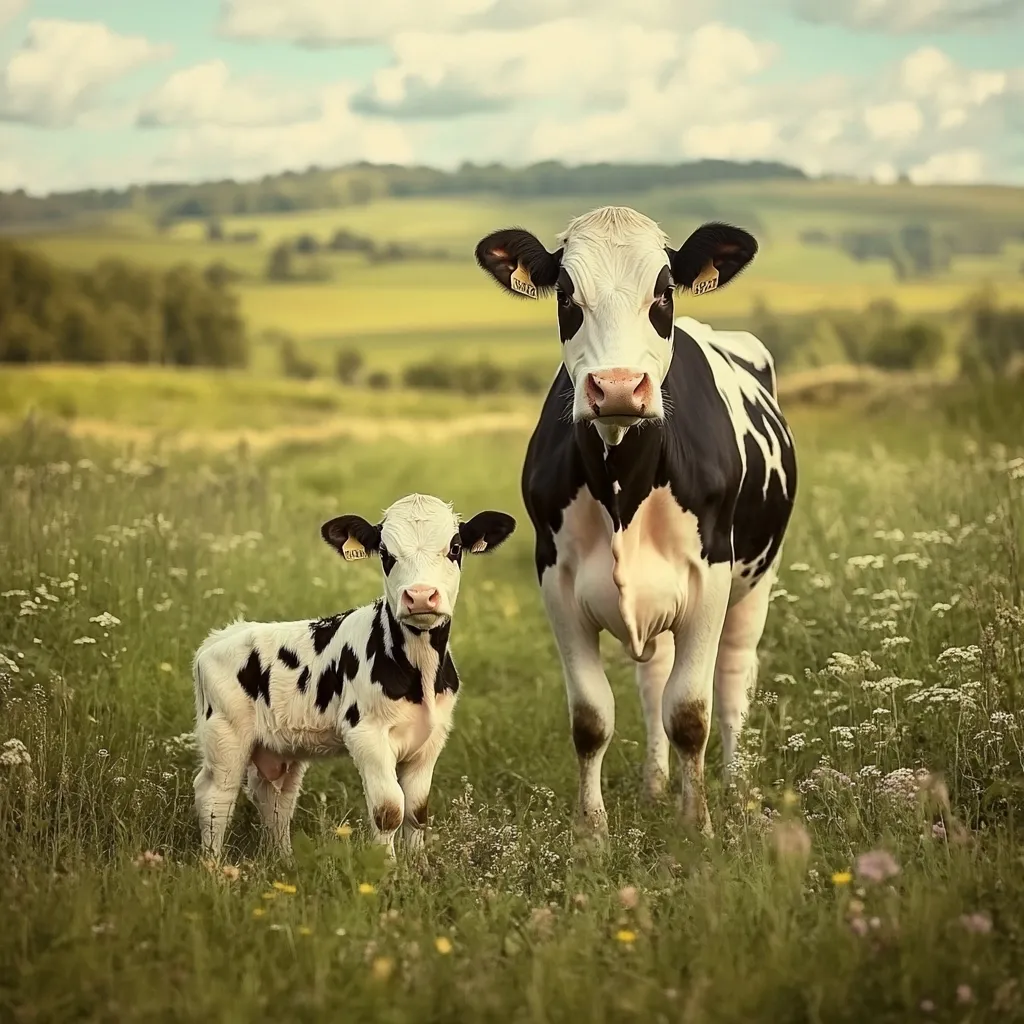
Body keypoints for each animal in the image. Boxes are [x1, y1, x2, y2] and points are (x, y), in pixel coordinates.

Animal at [191, 493, 516, 860]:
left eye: (455, 547)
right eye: (386, 554)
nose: (420, 596)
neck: (421, 676)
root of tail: (222, 636)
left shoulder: (431, 738)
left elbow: (417, 811)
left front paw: (418, 868)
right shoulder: (366, 734)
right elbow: (389, 809)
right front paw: (386, 870)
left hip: (279, 743)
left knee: (275, 795)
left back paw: (283, 860)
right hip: (225, 734)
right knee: (216, 794)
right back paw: (214, 867)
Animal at [474, 206, 796, 836]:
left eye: (663, 290)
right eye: (566, 294)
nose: (619, 387)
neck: (624, 486)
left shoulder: (711, 577)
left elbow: (691, 712)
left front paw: (698, 828)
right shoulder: (555, 580)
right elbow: (592, 718)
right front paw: (592, 834)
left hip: (757, 583)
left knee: (733, 681)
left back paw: (734, 785)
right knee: (653, 686)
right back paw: (654, 786)